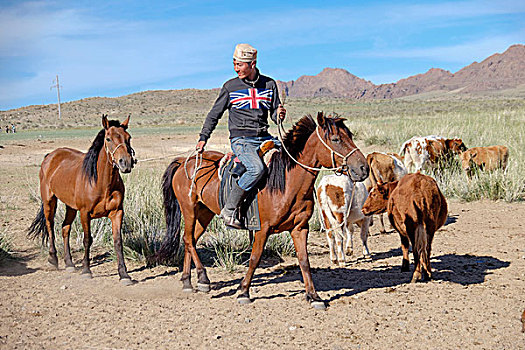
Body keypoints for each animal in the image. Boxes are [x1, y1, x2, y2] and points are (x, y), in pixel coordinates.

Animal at [28, 115, 135, 284]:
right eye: (108, 139)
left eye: (128, 138)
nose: (126, 163)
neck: (101, 183)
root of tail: (50, 156)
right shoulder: (85, 214)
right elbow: (87, 240)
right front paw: (86, 270)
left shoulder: (117, 213)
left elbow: (118, 241)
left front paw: (124, 274)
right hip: (49, 201)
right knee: (50, 226)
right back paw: (53, 259)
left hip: (70, 207)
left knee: (65, 228)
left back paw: (69, 263)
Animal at [156, 112, 368, 308]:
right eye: (336, 139)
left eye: (350, 135)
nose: (363, 168)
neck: (285, 182)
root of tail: (184, 160)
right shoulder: (261, 228)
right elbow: (255, 258)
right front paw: (243, 292)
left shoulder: (300, 228)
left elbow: (304, 261)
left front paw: (313, 296)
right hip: (189, 209)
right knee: (188, 239)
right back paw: (203, 278)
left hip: (204, 213)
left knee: (190, 240)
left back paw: (188, 282)